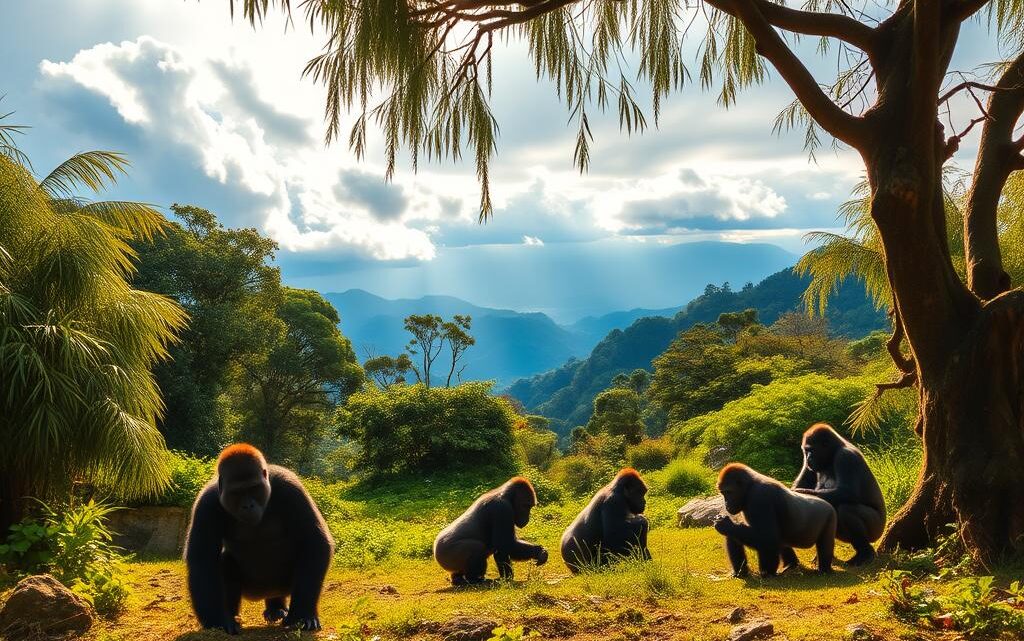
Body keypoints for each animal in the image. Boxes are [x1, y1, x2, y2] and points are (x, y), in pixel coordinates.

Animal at [184, 444, 333, 633]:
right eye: (237, 492)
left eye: (254, 488)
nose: (248, 506)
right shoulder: (207, 503)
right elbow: (203, 560)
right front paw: (217, 620)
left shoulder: (290, 487)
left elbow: (314, 541)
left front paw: (302, 615)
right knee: (225, 562)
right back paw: (234, 614)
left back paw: (276, 607)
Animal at [792, 423, 886, 566]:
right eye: (806, 451)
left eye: (811, 450)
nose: (808, 458)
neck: (833, 451)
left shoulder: (846, 457)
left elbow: (848, 492)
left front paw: (804, 493)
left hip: (877, 530)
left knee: (846, 509)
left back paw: (865, 553)